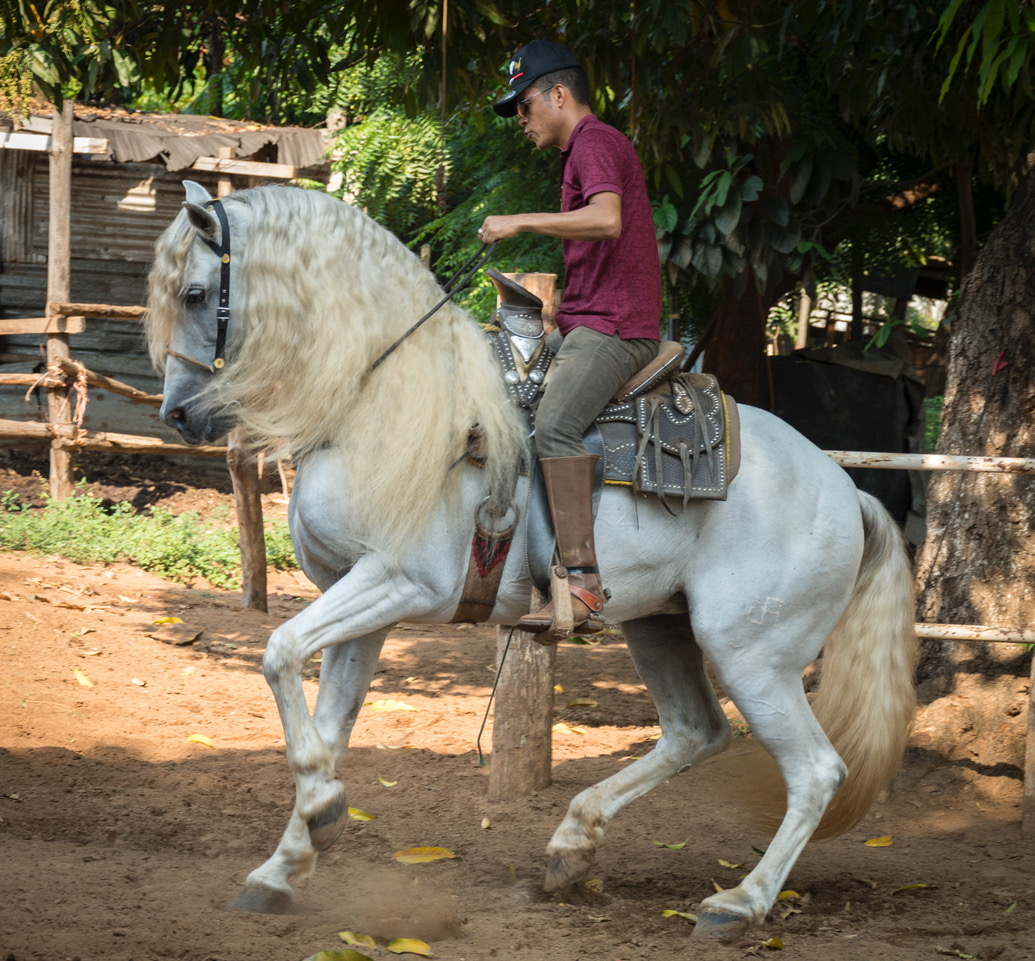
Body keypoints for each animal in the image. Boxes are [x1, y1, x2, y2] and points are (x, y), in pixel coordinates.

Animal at [145, 181, 916, 940]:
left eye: (194, 293)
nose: (178, 416)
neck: (380, 401)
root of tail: (843, 487)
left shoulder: (400, 584)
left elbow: (277, 652)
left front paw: (325, 810)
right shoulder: (360, 603)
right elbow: (326, 725)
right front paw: (282, 867)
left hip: (751, 653)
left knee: (816, 770)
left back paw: (737, 902)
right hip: (660, 627)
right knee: (697, 731)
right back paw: (572, 847)